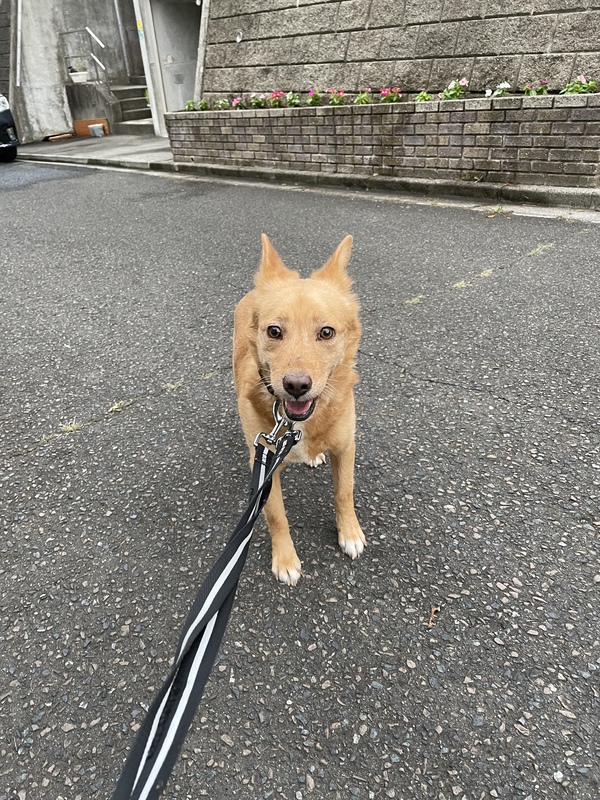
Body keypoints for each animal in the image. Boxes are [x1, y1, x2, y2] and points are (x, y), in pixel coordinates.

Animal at [233, 234, 365, 585]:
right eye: (274, 331)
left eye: (327, 332)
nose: (295, 385)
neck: (294, 424)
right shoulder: (264, 464)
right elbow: (277, 516)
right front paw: (285, 559)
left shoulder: (346, 446)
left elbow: (344, 493)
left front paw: (349, 533)